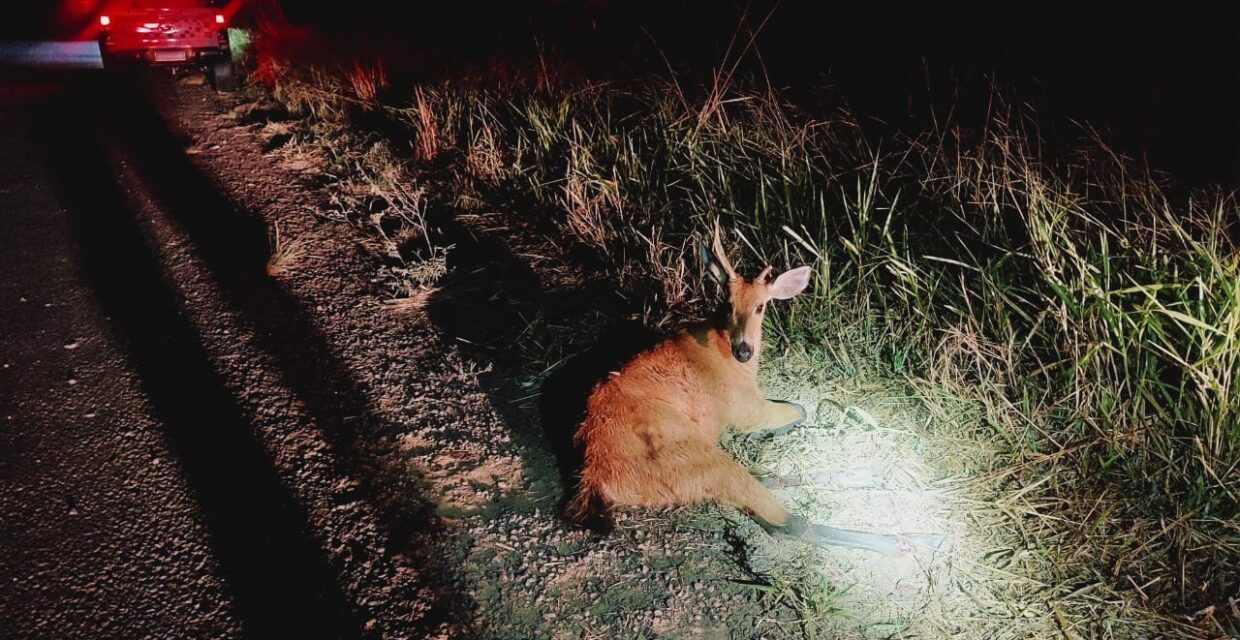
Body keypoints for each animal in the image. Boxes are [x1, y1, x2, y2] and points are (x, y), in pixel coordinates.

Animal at [566, 223, 945, 556]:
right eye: (727, 303)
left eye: (762, 306)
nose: (744, 349)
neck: (731, 360)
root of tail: (595, 480)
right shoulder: (744, 407)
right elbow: (801, 409)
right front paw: (764, 432)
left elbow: (799, 409)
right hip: (692, 456)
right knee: (789, 522)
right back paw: (916, 540)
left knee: (766, 481)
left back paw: (882, 475)